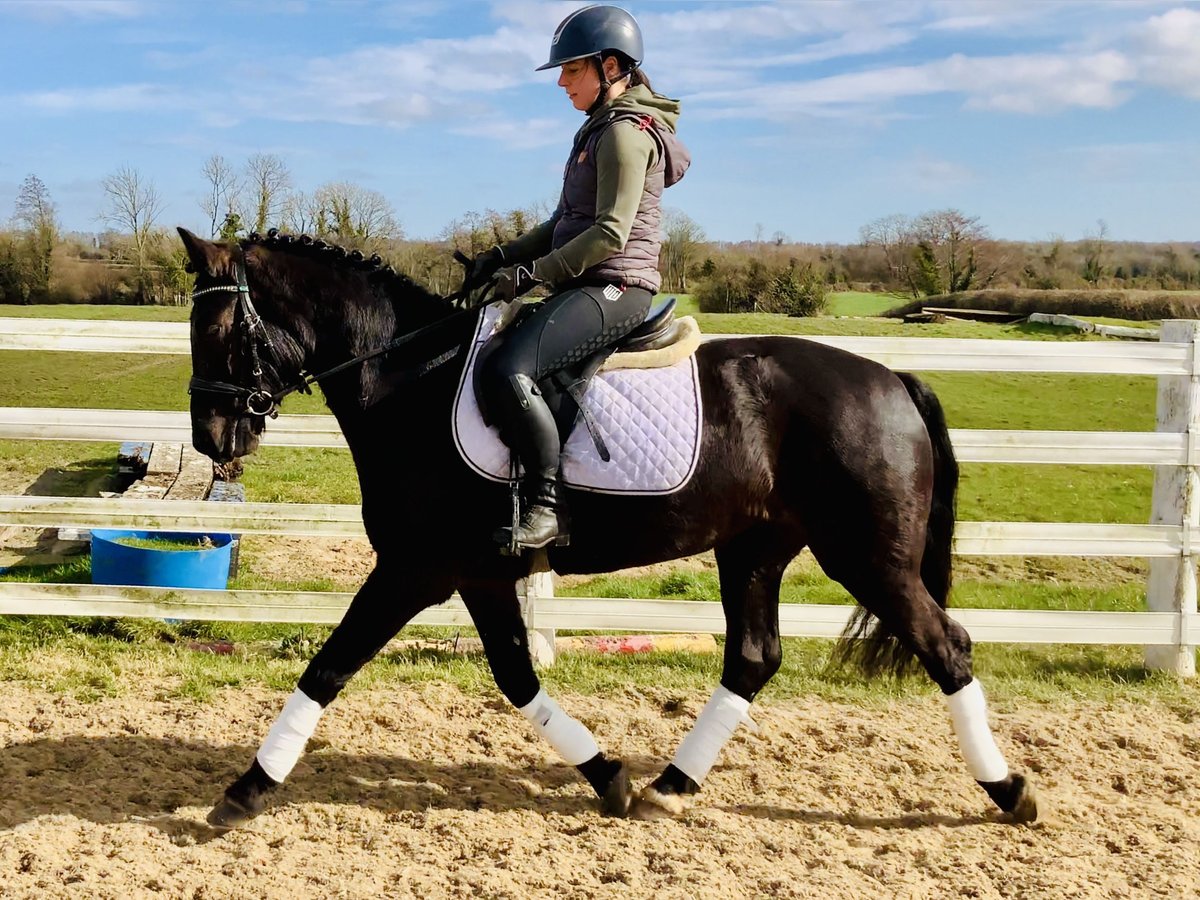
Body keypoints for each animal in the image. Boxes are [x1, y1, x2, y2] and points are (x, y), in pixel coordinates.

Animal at [180, 230, 1041, 830]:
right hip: (756, 549)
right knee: (753, 658)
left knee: (946, 648)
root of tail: (890, 378)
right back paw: (670, 787)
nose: (213, 441)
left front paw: (245, 790)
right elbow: (517, 679)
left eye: (221, 333)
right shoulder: (479, 574)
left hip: (868, 558)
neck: (410, 383)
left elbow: (328, 667)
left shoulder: (413, 569)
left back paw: (1010, 792)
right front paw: (610, 777)